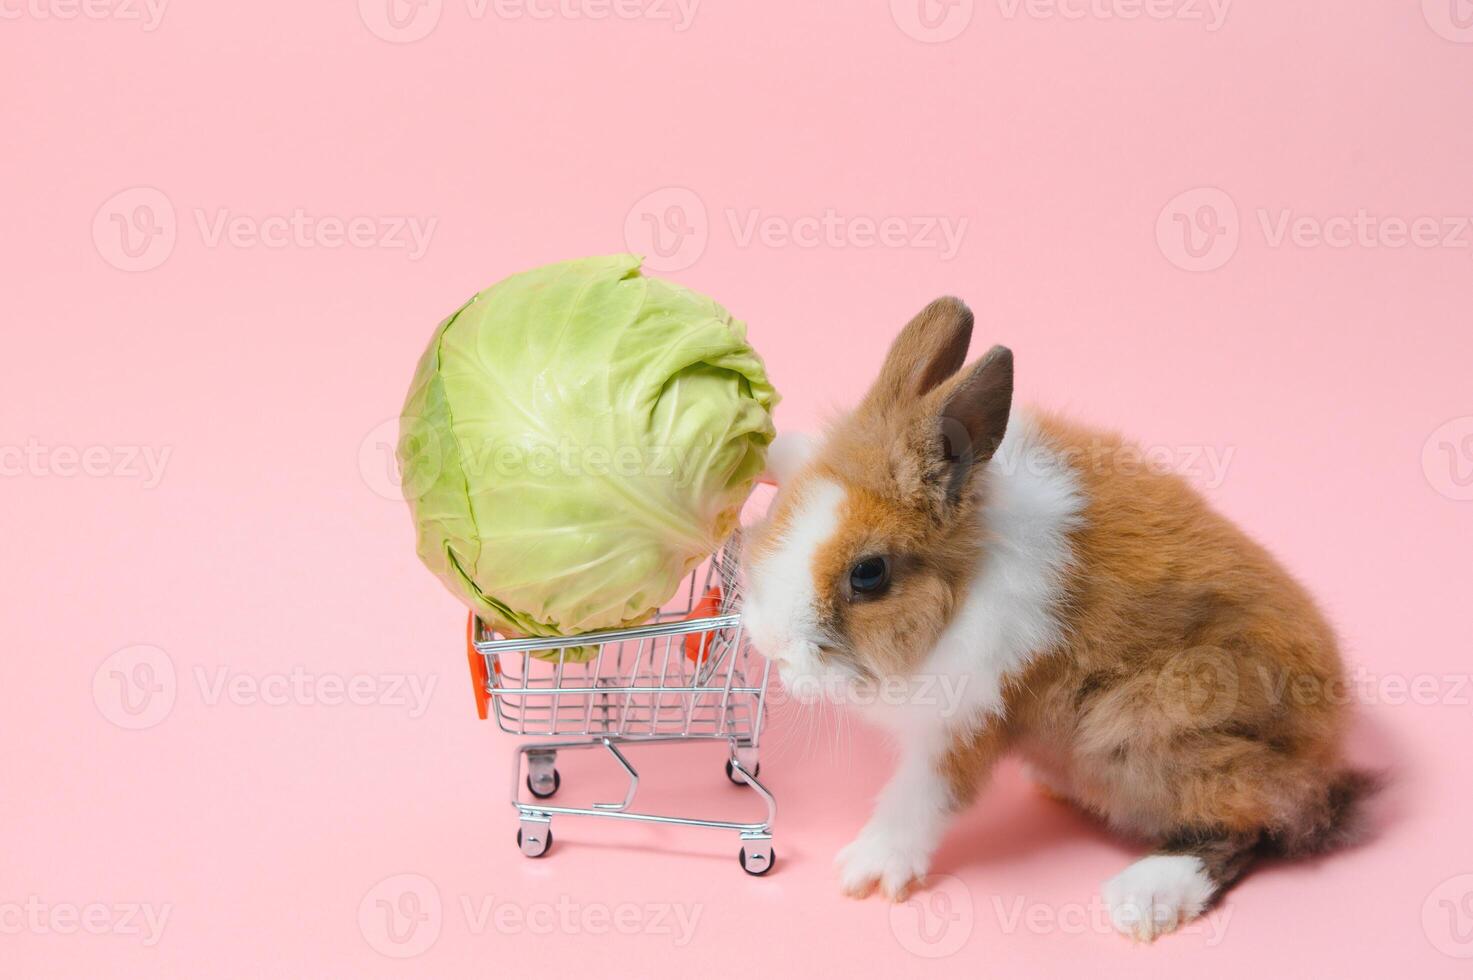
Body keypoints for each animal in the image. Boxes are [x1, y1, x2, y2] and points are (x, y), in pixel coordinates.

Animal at [742, 296, 1372, 943]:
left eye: (869, 574)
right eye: (784, 512)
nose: (770, 644)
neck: (972, 566)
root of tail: (1326, 751)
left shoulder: (970, 718)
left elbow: (920, 798)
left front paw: (867, 869)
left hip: (1158, 725)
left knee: (1256, 826)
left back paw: (1143, 898)